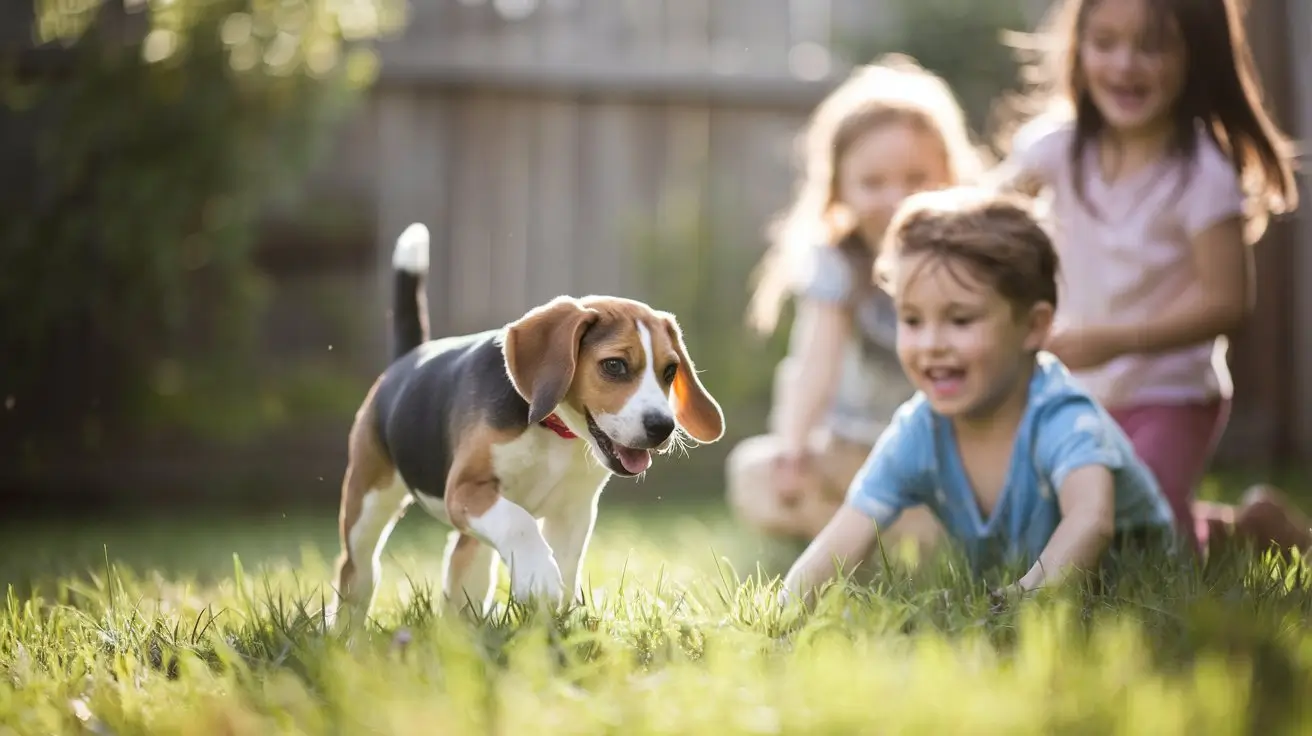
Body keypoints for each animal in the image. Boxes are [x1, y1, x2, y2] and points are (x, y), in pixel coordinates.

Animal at [324, 223, 724, 624]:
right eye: (614, 365)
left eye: (669, 371)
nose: (663, 427)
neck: (554, 431)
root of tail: (409, 357)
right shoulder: (465, 489)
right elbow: (519, 522)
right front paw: (538, 576)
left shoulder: (574, 512)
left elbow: (565, 562)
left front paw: (555, 617)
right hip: (368, 503)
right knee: (358, 568)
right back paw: (346, 628)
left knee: (462, 565)